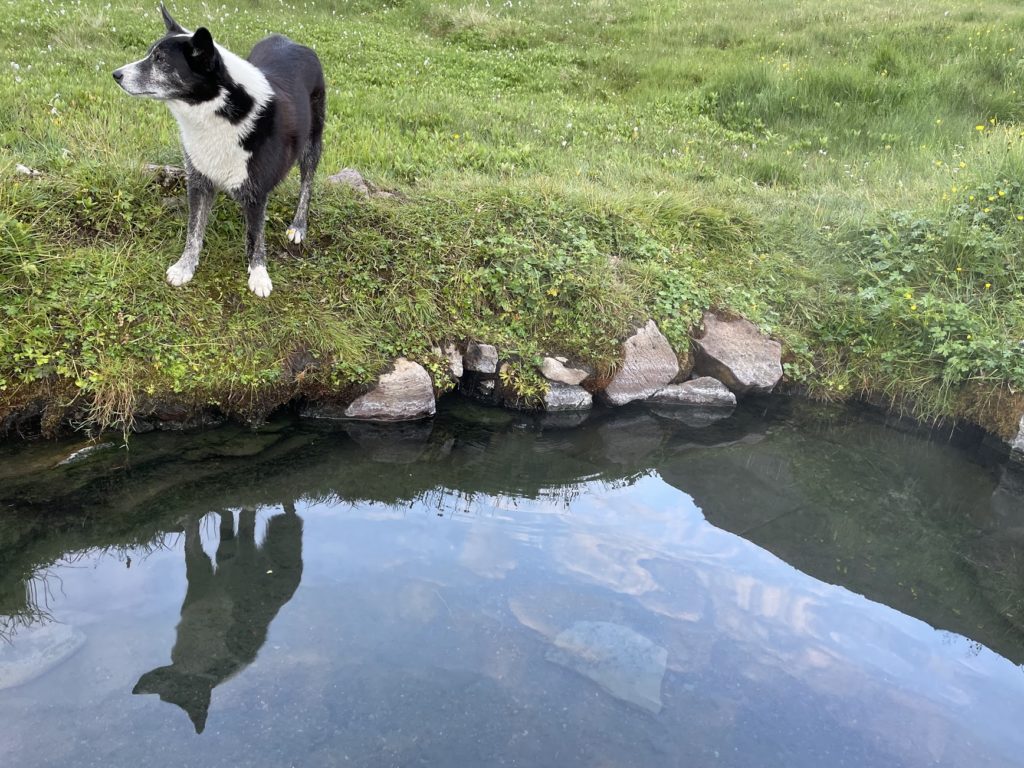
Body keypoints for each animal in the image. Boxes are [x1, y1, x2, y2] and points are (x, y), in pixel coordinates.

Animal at [111, 4, 323, 299]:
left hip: (312, 143)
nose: (116, 74)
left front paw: (259, 275)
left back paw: (298, 226)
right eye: (150, 53)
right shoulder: (198, 180)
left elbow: (256, 237)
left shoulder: (256, 190)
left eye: (161, 60)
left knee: (307, 183)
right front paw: (185, 267)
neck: (215, 111)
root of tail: (294, 43)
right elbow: (194, 230)